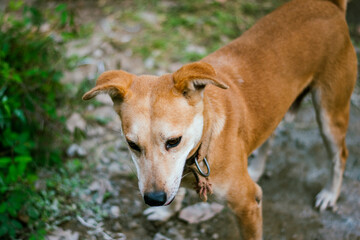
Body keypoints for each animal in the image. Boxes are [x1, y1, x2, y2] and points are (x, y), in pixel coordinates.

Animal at [83, 0, 358, 238]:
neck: (204, 142)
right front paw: (167, 212)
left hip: (330, 115)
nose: (154, 199)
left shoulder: (248, 204)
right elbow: (175, 191)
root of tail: (329, 5)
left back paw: (330, 194)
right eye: (132, 145)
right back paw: (256, 167)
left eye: (174, 141)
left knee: (340, 156)